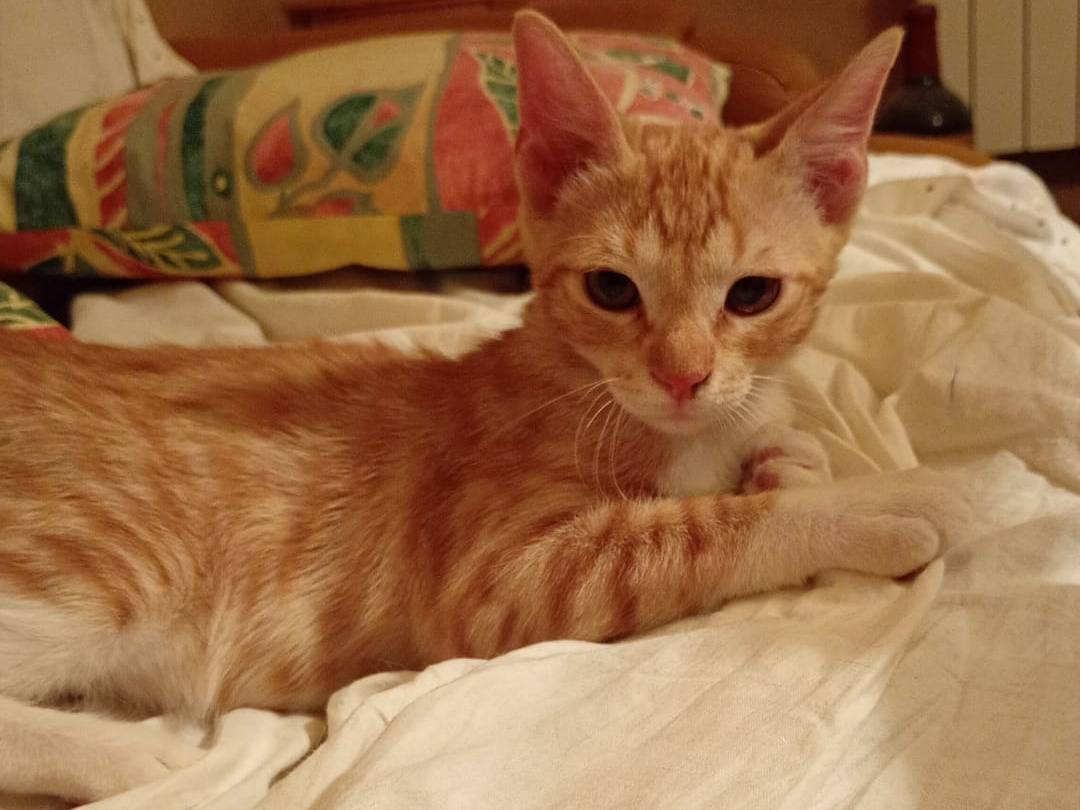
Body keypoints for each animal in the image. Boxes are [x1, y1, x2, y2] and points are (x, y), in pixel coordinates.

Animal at [0, 11, 970, 803]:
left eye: (753, 295)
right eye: (612, 290)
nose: (683, 377)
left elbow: (770, 463)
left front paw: (790, 460)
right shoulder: (495, 581)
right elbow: (700, 527)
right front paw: (896, 497)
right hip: (111, 560)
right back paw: (147, 761)